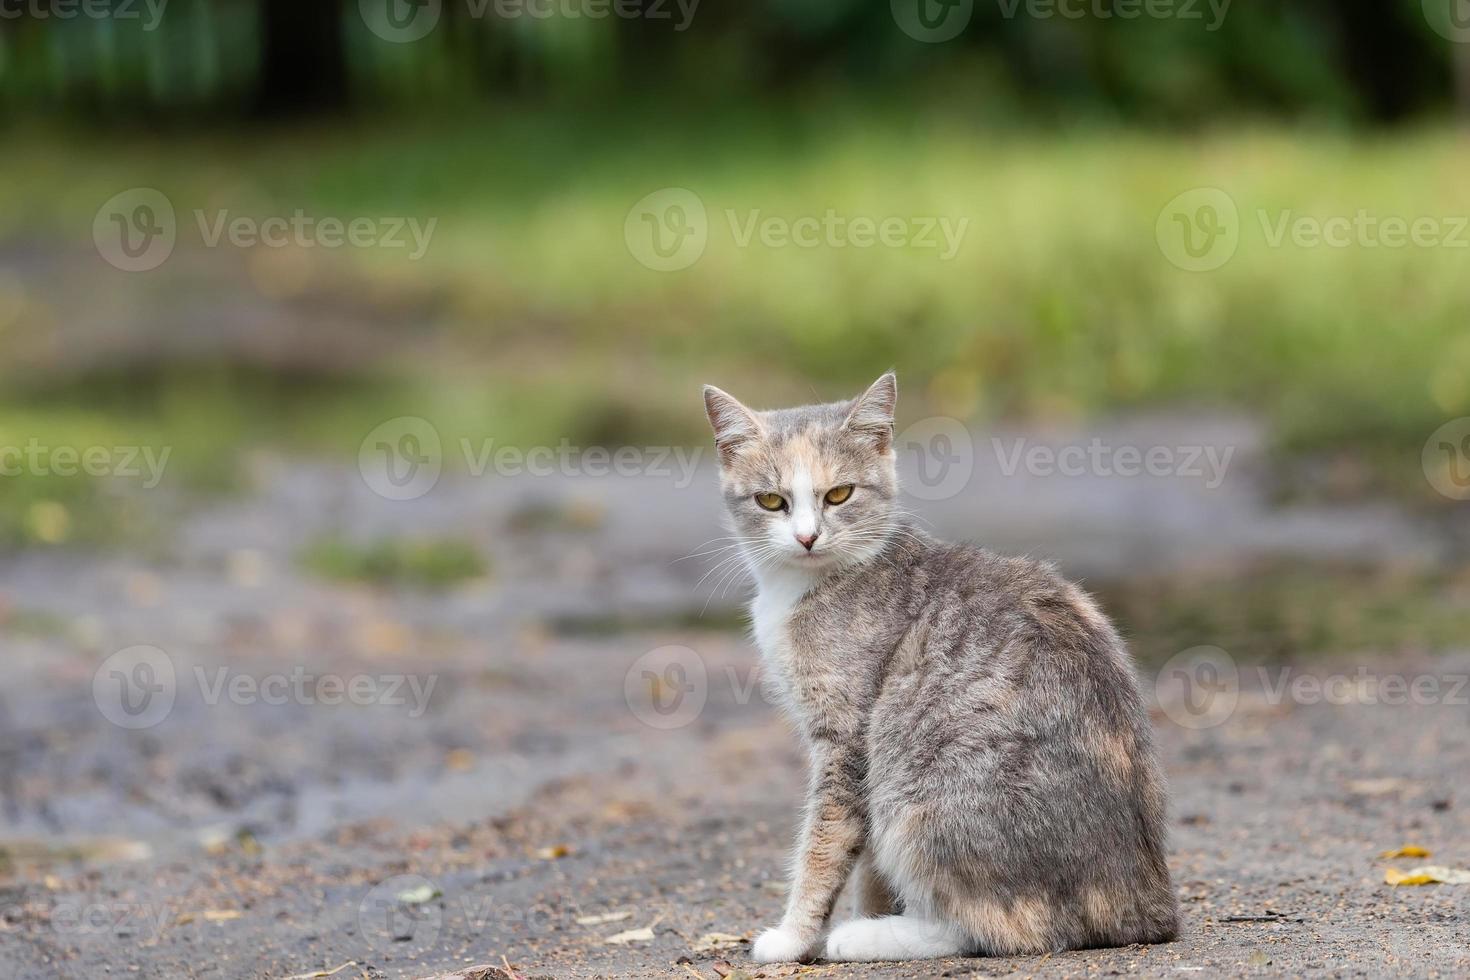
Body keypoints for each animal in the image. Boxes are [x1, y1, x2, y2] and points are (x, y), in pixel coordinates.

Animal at [702, 376, 1181, 963]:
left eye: (839, 495)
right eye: (771, 501)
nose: (807, 537)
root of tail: (1147, 902)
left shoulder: (847, 737)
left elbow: (825, 843)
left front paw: (794, 937)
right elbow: (866, 862)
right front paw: (870, 907)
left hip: (917, 796)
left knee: (1003, 928)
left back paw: (872, 937)